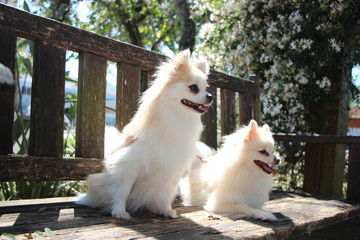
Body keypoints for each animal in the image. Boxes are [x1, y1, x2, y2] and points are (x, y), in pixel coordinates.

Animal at [77, 49, 212, 219]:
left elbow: (168, 193)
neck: (178, 118)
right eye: (193, 87)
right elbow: (123, 191)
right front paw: (119, 211)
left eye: (206, 88)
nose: (211, 96)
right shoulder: (129, 165)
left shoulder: (173, 170)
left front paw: (166, 210)